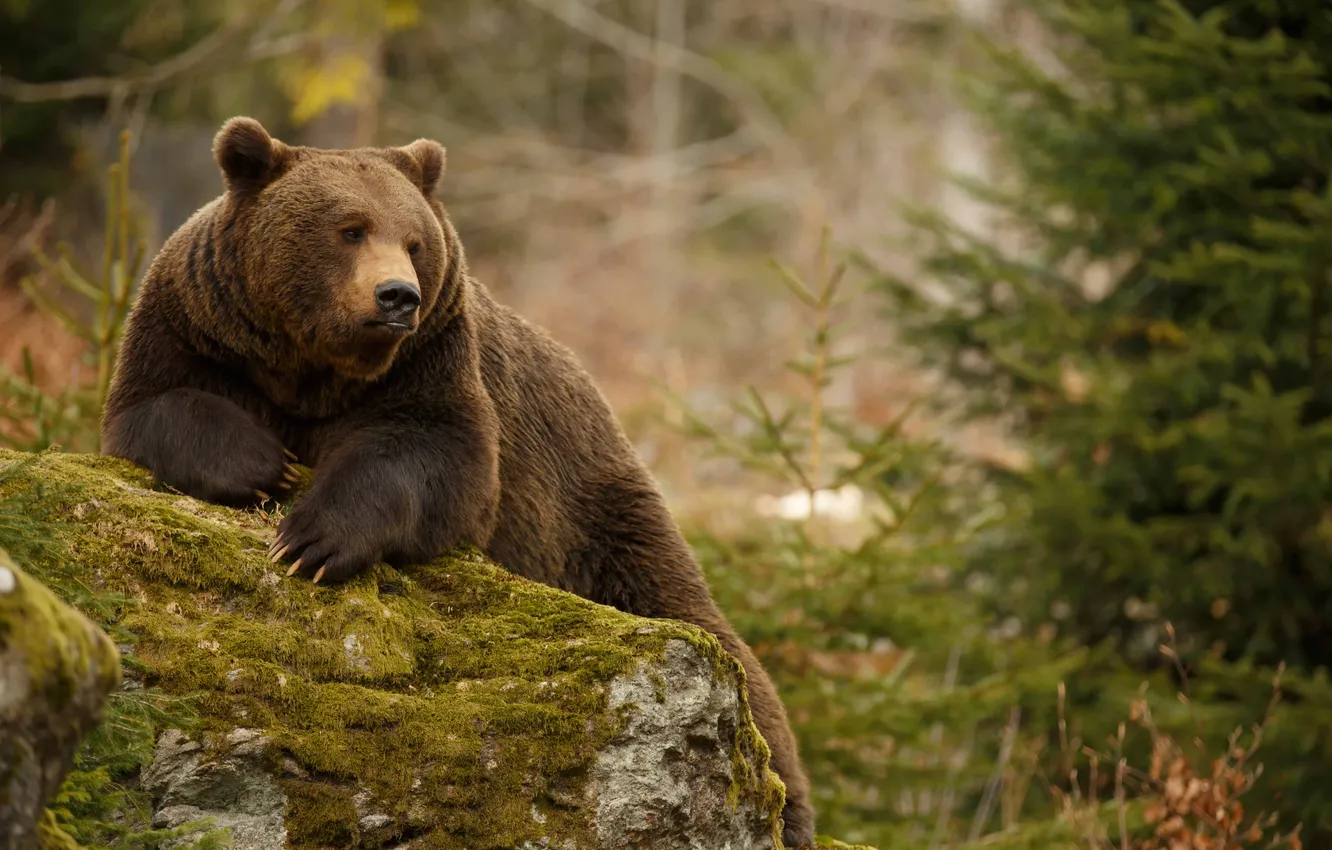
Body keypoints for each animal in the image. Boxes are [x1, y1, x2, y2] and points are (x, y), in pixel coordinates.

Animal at [100, 116, 815, 847]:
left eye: (414, 241)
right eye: (350, 228)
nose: (397, 296)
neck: (314, 369)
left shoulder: (432, 362)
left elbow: (436, 458)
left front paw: (312, 539)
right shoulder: (198, 328)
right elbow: (155, 406)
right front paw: (263, 464)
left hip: (595, 517)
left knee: (719, 651)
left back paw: (784, 805)